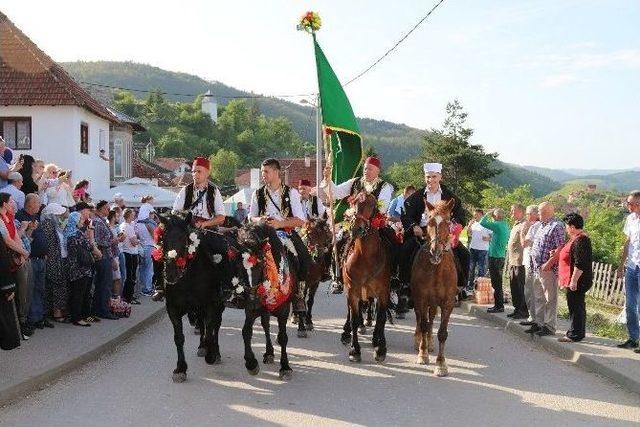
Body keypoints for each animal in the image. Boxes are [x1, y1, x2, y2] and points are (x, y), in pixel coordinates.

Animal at [158, 214, 230, 384]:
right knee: (202, 324)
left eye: (185, 239)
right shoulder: (173, 309)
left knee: (215, 326)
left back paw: (215, 352)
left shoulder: (210, 305)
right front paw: (180, 369)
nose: (171, 273)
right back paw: (202, 347)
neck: (188, 278)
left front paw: (211, 355)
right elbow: (179, 338)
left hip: (217, 305)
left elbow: (211, 330)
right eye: (163, 238)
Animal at [340, 192, 390, 362]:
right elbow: (354, 319)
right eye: (354, 202)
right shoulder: (352, 292)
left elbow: (381, 318)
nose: (357, 228)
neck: (365, 259)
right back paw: (346, 333)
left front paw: (380, 349)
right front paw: (354, 350)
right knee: (350, 312)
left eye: (371, 204)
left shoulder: (383, 293)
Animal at [410, 199, 460, 376]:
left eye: (448, 222)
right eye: (429, 221)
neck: (437, 271)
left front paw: (441, 364)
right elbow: (424, 325)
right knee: (421, 320)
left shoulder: (448, 303)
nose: (435, 253)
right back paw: (419, 340)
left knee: (431, 319)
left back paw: (430, 342)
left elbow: (442, 333)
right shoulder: (421, 299)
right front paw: (423, 354)